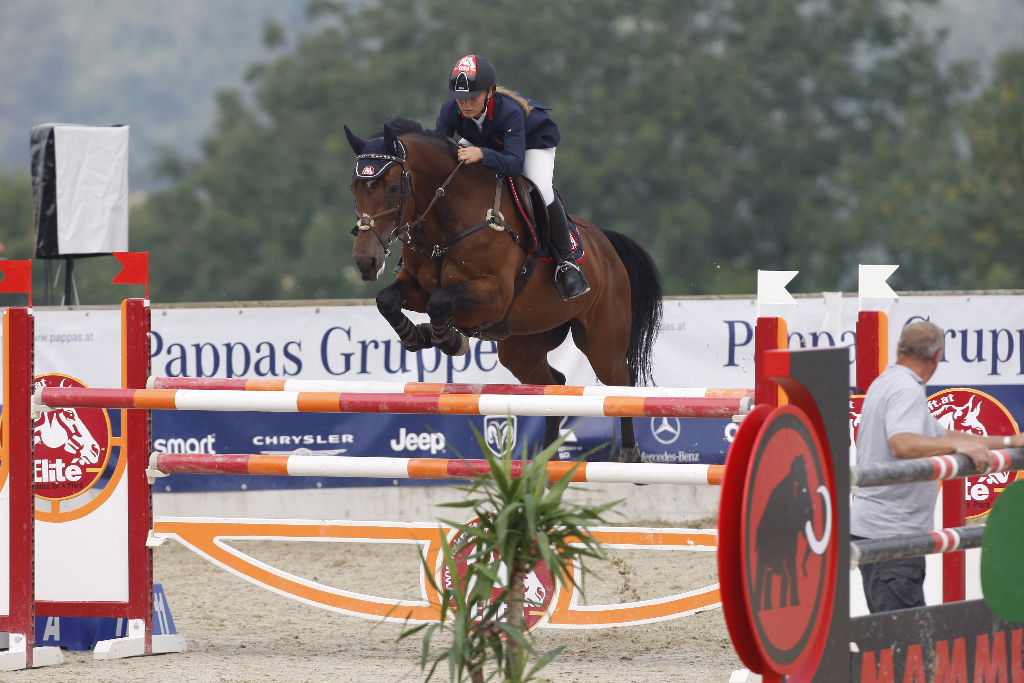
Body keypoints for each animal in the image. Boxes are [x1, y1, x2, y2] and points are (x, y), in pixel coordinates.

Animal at [346, 117, 663, 462]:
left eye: (393, 188)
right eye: (353, 187)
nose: (366, 261)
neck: (446, 219)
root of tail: (606, 244)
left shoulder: (494, 296)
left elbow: (440, 302)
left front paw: (449, 339)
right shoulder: (418, 286)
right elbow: (388, 300)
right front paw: (419, 336)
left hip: (602, 342)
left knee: (621, 383)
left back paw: (629, 455)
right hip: (523, 346)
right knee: (553, 385)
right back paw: (545, 460)